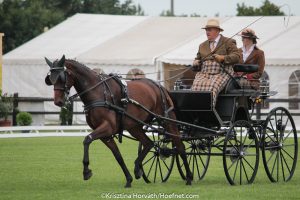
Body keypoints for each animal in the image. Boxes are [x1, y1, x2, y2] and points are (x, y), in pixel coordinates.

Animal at [44, 55, 192, 188]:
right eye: (50, 79)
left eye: (61, 77)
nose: (58, 102)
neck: (98, 92)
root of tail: (159, 86)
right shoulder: (105, 134)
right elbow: (118, 156)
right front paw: (128, 179)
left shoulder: (107, 127)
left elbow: (87, 139)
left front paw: (86, 171)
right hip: (134, 126)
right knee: (148, 143)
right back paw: (138, 168)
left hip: (167, 121)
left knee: (180, 146)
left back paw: (189, 177)